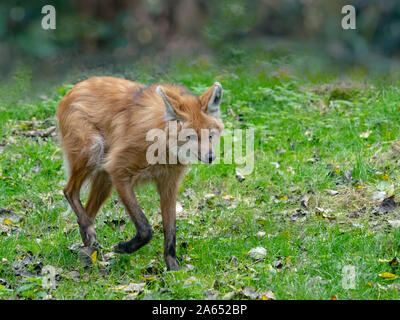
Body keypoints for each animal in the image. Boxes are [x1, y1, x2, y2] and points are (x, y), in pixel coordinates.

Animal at [55, 77, 223, 270]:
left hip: (105, 179)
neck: (162, 145)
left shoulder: (168, 184)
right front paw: (124, 247)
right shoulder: (118, 171)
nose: (211, 157)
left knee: (86, 212)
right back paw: (90, 236)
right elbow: (145, 229)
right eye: (191, 137)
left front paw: (173, 267)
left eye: (209, 135)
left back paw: (89, 250)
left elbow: (170, 230)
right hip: (93, 150)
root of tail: (73, 89)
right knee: (69, 191)